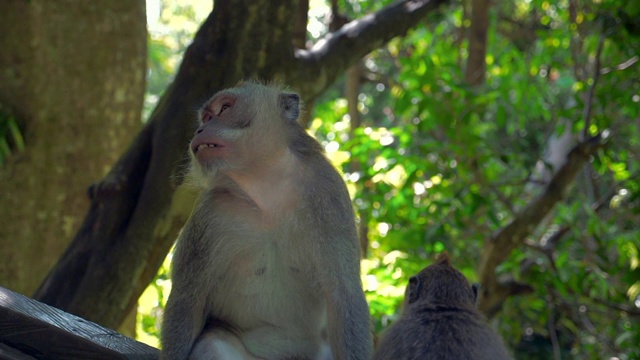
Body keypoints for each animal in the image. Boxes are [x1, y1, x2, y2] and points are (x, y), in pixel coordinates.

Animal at [160, 81, 372, 360]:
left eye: (225, 108)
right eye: (206, 117)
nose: (200, 129)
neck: (265, 189)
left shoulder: (328, 193)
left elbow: (343, 292)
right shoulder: (210, 213)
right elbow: (188, 299)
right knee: (212, 344)